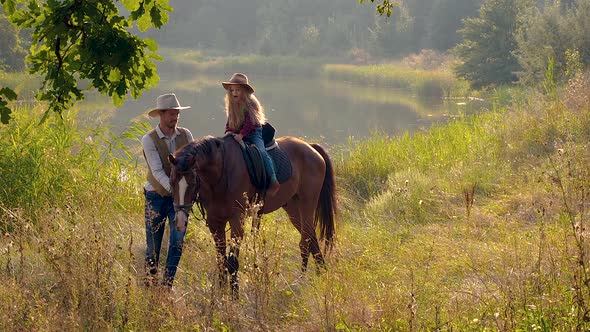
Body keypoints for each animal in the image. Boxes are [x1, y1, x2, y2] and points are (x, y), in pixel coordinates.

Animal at [171, 136, 338, 294]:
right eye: (172, 182)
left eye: (193, 183)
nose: (180, 221)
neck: (219, 176)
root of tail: (311, 147)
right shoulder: (214, 222)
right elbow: (221, 260)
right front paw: (221, 294)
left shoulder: (237, 220)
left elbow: (232, 262)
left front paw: (234, 296)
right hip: (293, 208)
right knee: (311, 238)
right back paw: (321, 274)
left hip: (307, 203)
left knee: (306, 241)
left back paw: (302, 280)